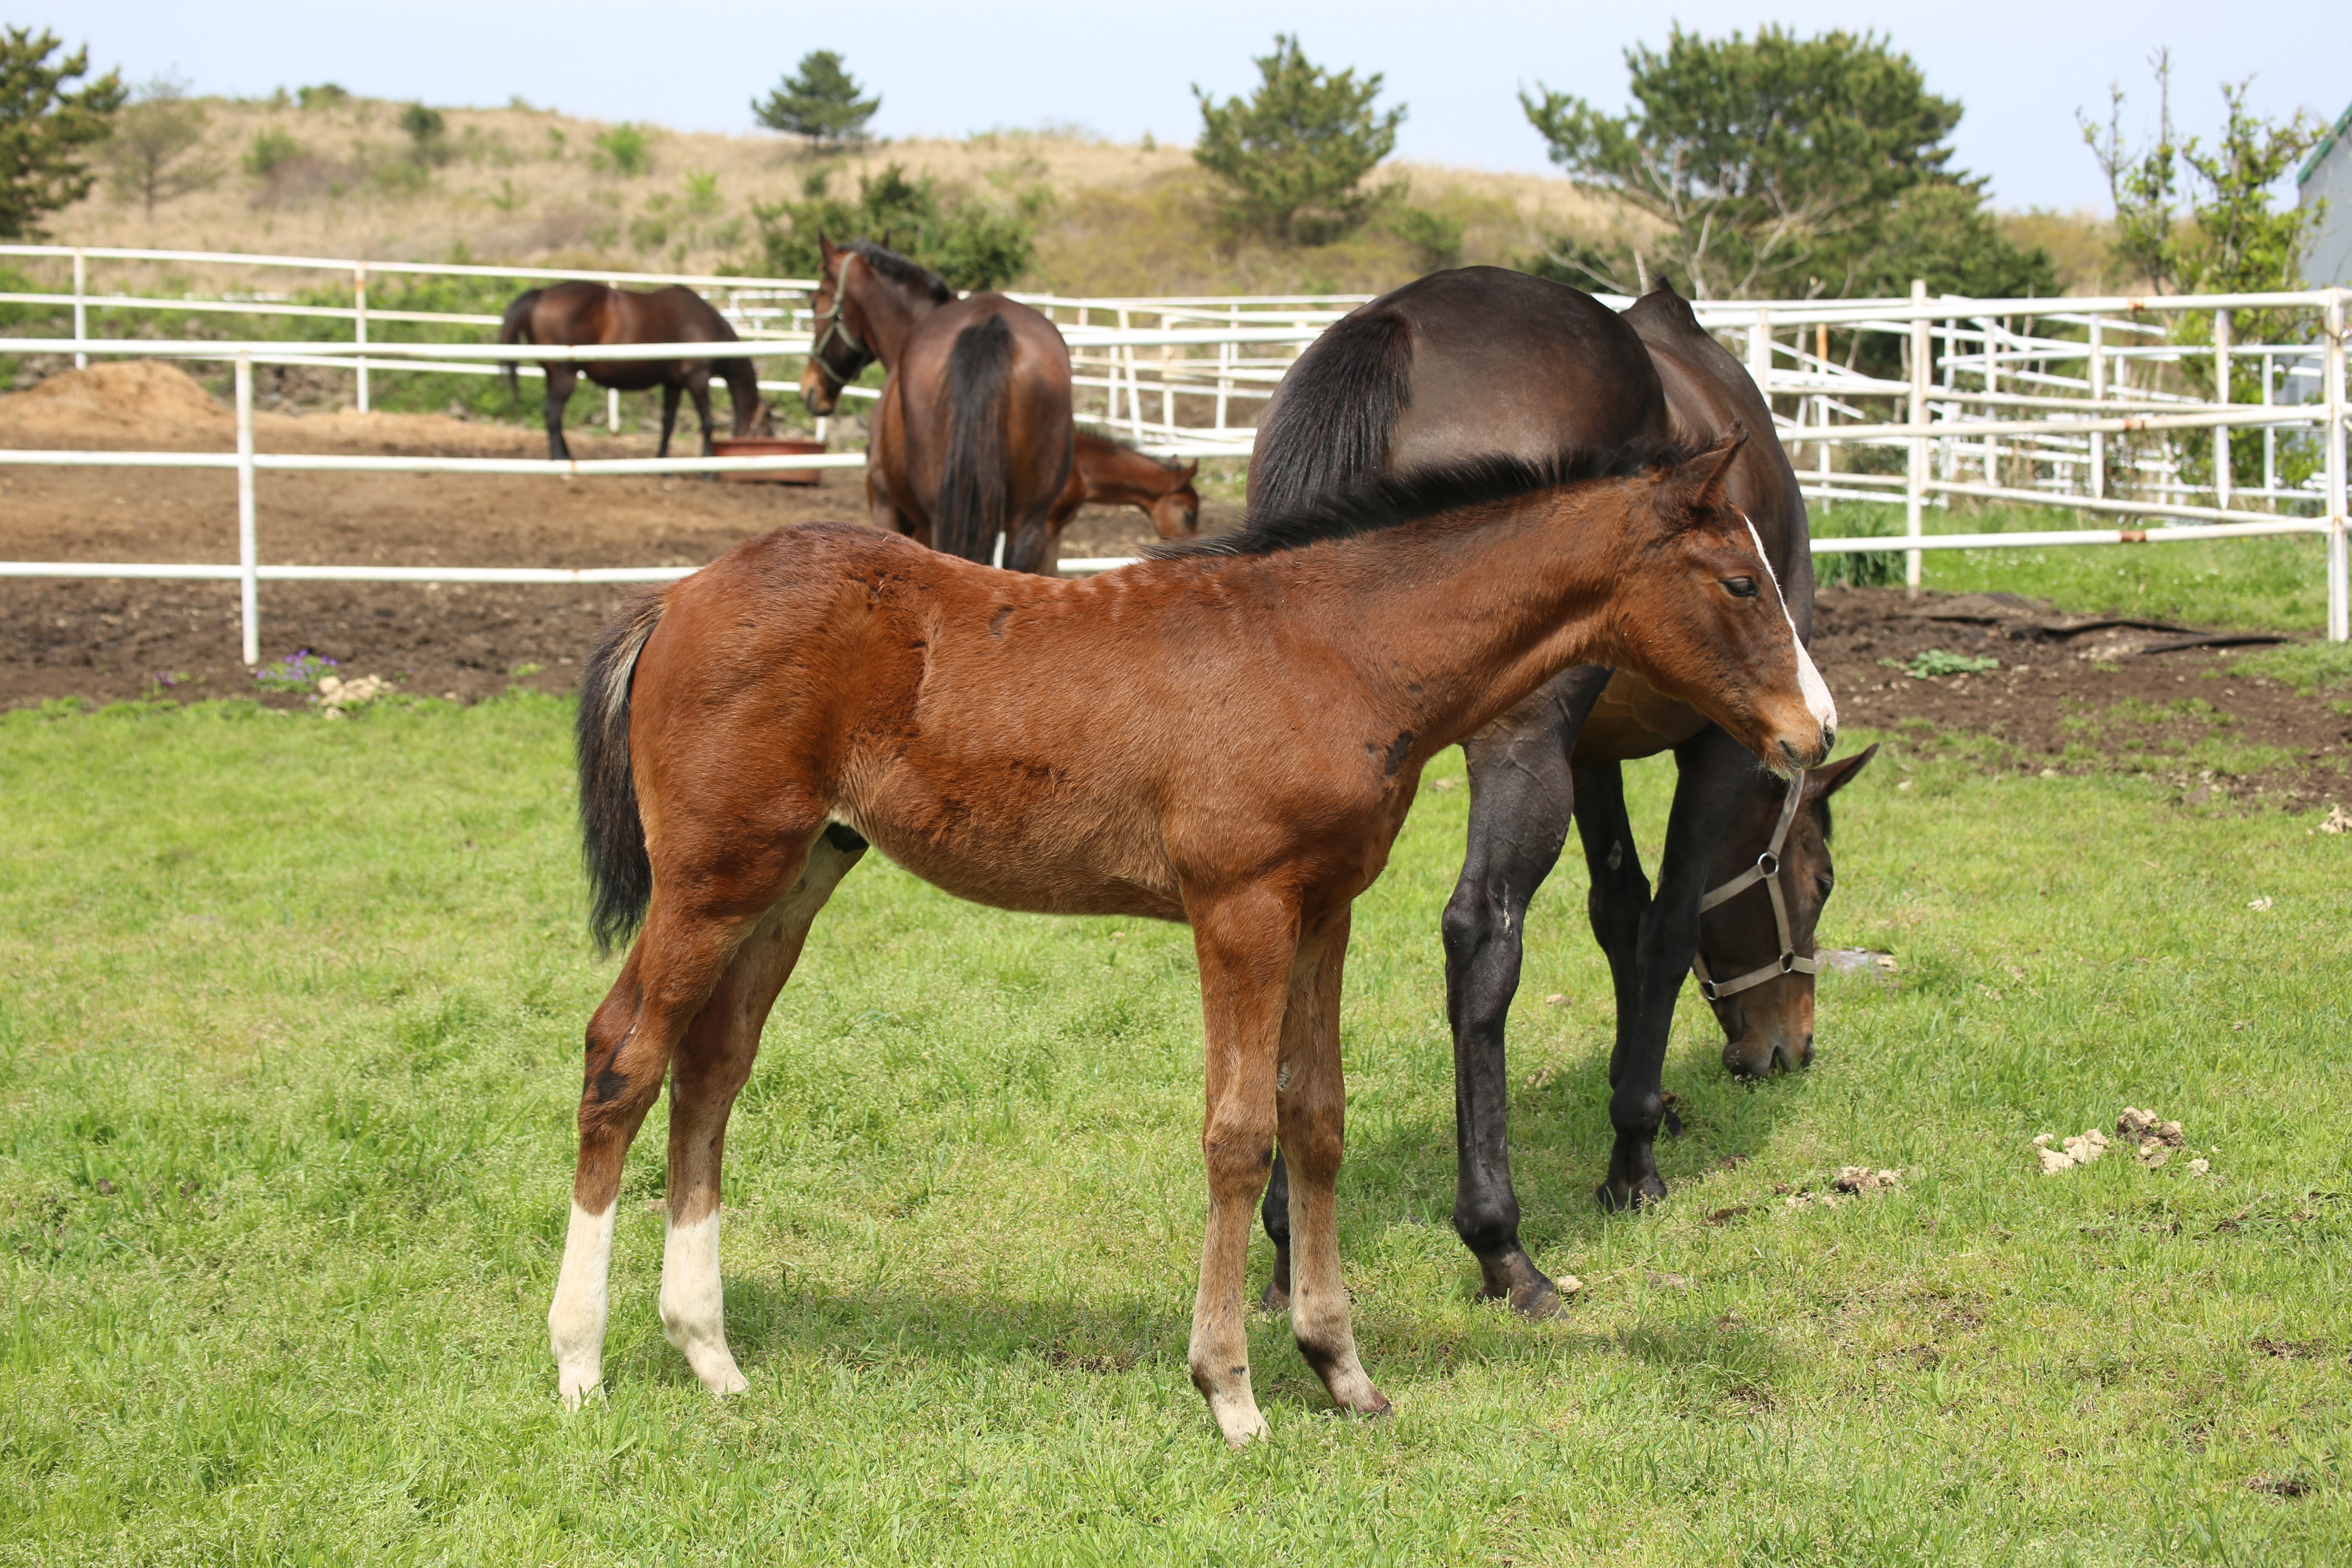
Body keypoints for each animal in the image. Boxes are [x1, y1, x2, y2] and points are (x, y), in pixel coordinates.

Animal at [499, 282, 771, 461]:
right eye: (767, 428)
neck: (703, 324)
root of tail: (542, 293)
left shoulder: (674, 383)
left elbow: (668, 423)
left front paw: (663, 463)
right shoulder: (697, 378)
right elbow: (708, 422)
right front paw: (707, 469)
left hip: (553, 373)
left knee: (553, 414)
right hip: (566, 374)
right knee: (553, 413)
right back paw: (561, 460)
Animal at [1251, 270, 1872, 1326]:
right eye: (1820, 880)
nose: (1787, 1046)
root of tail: (1400, 325)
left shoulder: (1592, 757)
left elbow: (1616, 912)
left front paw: (1643, 1102)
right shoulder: (1716, 743)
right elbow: (1664, 926)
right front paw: (1632, 1156)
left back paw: (1288, 1239)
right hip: (1517, 742)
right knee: (1481, 933)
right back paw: (1501, 1246)